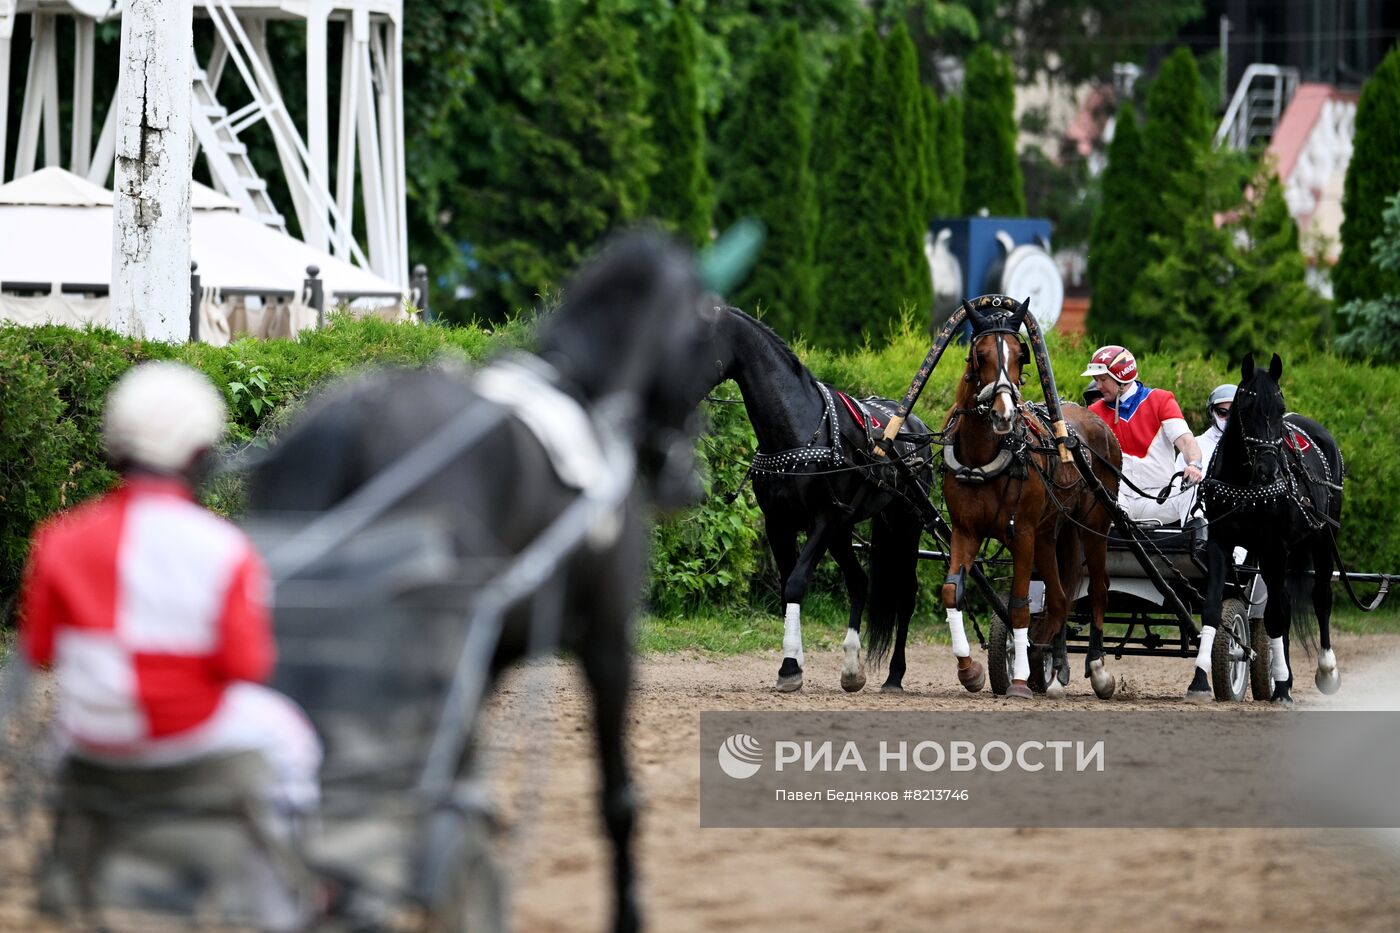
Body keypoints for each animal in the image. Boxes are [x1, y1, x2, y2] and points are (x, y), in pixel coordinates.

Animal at [245, 231, 716, 930]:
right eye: (706, 327)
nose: (688, 481)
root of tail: (353, 420)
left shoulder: (485, 658)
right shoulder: (607, 638)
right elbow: (617, 797)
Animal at [705, 308, 935, 694]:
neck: (799, 429)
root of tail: (918, 427)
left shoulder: (824, 520)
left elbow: (797, 582)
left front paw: (789, 667)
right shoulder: (779, 524)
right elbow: (788, 586)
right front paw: (793, 663)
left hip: (907, 522)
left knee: (906, 592)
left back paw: (894, 675)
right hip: (846, 531)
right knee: (859, 581)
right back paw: (853, 669)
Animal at [935, 294, 1120, 694]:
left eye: (1021, 355)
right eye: (980, 355)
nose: (1003, 415)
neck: (983, 456)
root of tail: (1098, 425)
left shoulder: (1020, 533)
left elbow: (1019, 604)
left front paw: (1019, 679)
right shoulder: (966, 531)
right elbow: (951, 592)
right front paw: (970, 670)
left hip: (1094, 524)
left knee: (1099, 589)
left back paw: (1095, 668)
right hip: (1049, 535)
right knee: (1061, 599)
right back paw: (1049, 662)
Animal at [1192, 353, 1344, 700]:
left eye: (1278, 406)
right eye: (1246, 408)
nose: (1268, 468)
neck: (1246, 484)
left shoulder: (1275, 547)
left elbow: (1276, 616)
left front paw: (1282, 686)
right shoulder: (1221, 542)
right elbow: (1212, 608)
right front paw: (1199, 679)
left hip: (1322, 538)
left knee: (1319, 597)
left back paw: (1323, 671)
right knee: (1283, 603)